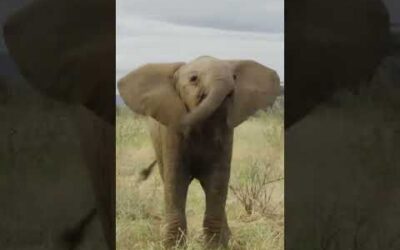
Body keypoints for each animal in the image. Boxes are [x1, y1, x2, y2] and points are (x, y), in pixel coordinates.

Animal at [119, 55, 280, 248]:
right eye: (193, 79)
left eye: (234, 78)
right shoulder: (170, 135)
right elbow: (176, 181)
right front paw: (174, 247)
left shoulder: (224, 133)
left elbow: (217, 181)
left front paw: (215, 247)